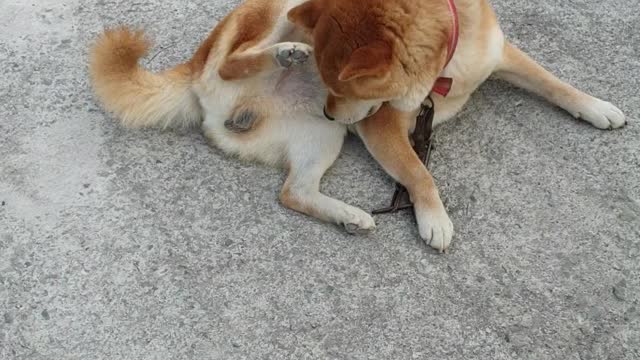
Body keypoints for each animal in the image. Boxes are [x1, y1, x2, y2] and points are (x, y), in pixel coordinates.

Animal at [90, 0, 624, 252]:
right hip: (269, 18)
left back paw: (348, 215)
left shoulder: (502, 56)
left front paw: (597, 106)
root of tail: (193, 65)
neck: (446, 66)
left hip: (318, 138)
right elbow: (419, 173)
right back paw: (283, 53)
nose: (331, 110)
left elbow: (554, 83)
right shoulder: (383, 127)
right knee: (229, 63)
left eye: (340, 87)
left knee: (294, 192)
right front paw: (434, 218)